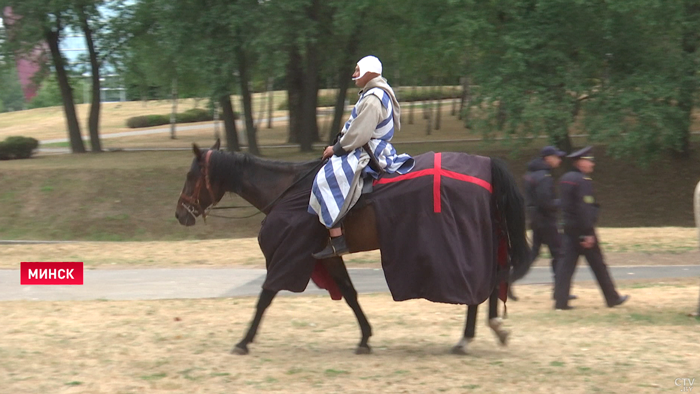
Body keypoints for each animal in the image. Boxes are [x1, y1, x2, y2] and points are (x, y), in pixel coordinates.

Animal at [176, 140, 532, 356]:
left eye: (191, 175)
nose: (181, 214)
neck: (286, 188)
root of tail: (485, 166)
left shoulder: (291, 252)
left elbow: (265, 296)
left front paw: (244, 341)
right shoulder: (326, 254)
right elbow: (349, 293)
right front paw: (365, 337)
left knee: (480, 282)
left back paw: (468, 337)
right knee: (492, 278)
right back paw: (489, 329)